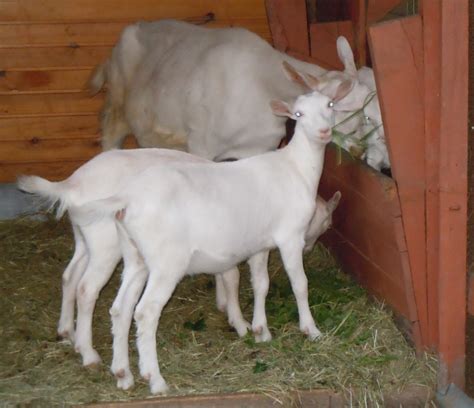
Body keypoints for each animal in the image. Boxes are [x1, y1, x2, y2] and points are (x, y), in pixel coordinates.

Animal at [78, 78, 348, 394]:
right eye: (298, 114)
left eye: (330, 105)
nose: (324, 132)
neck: (297, 168)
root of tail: (127, 199)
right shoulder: (290, 236)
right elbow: (300, 284)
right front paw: (311, 329)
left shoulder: (260, 244)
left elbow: (261, 284)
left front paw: (260, 330)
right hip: (167, 262)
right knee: (145, 312)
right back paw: (154, 379)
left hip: (136, 257)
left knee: (120, 309)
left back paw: (123, 374)